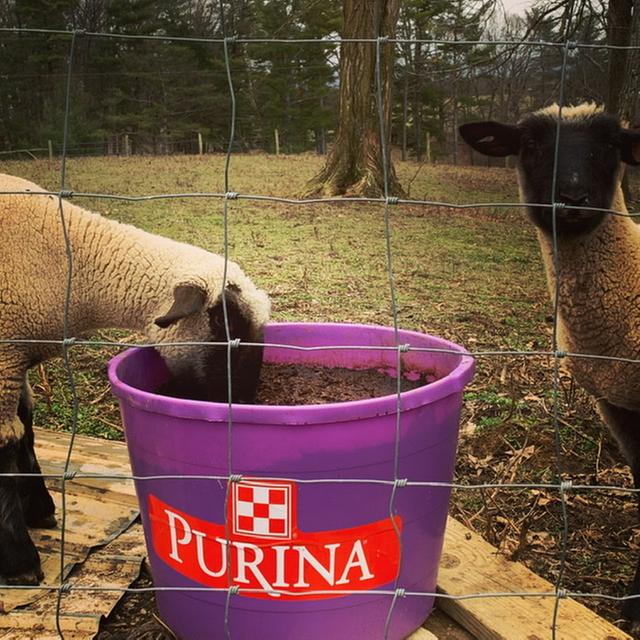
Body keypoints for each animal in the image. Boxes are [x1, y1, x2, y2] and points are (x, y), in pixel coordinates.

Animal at [0, 172, 270, 585]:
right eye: (225, 324)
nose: (242, 404)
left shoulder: (16, 359)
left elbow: (25, 429)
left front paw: (40, 510)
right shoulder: (5, 357)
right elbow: (7, 444)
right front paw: (20, 562)